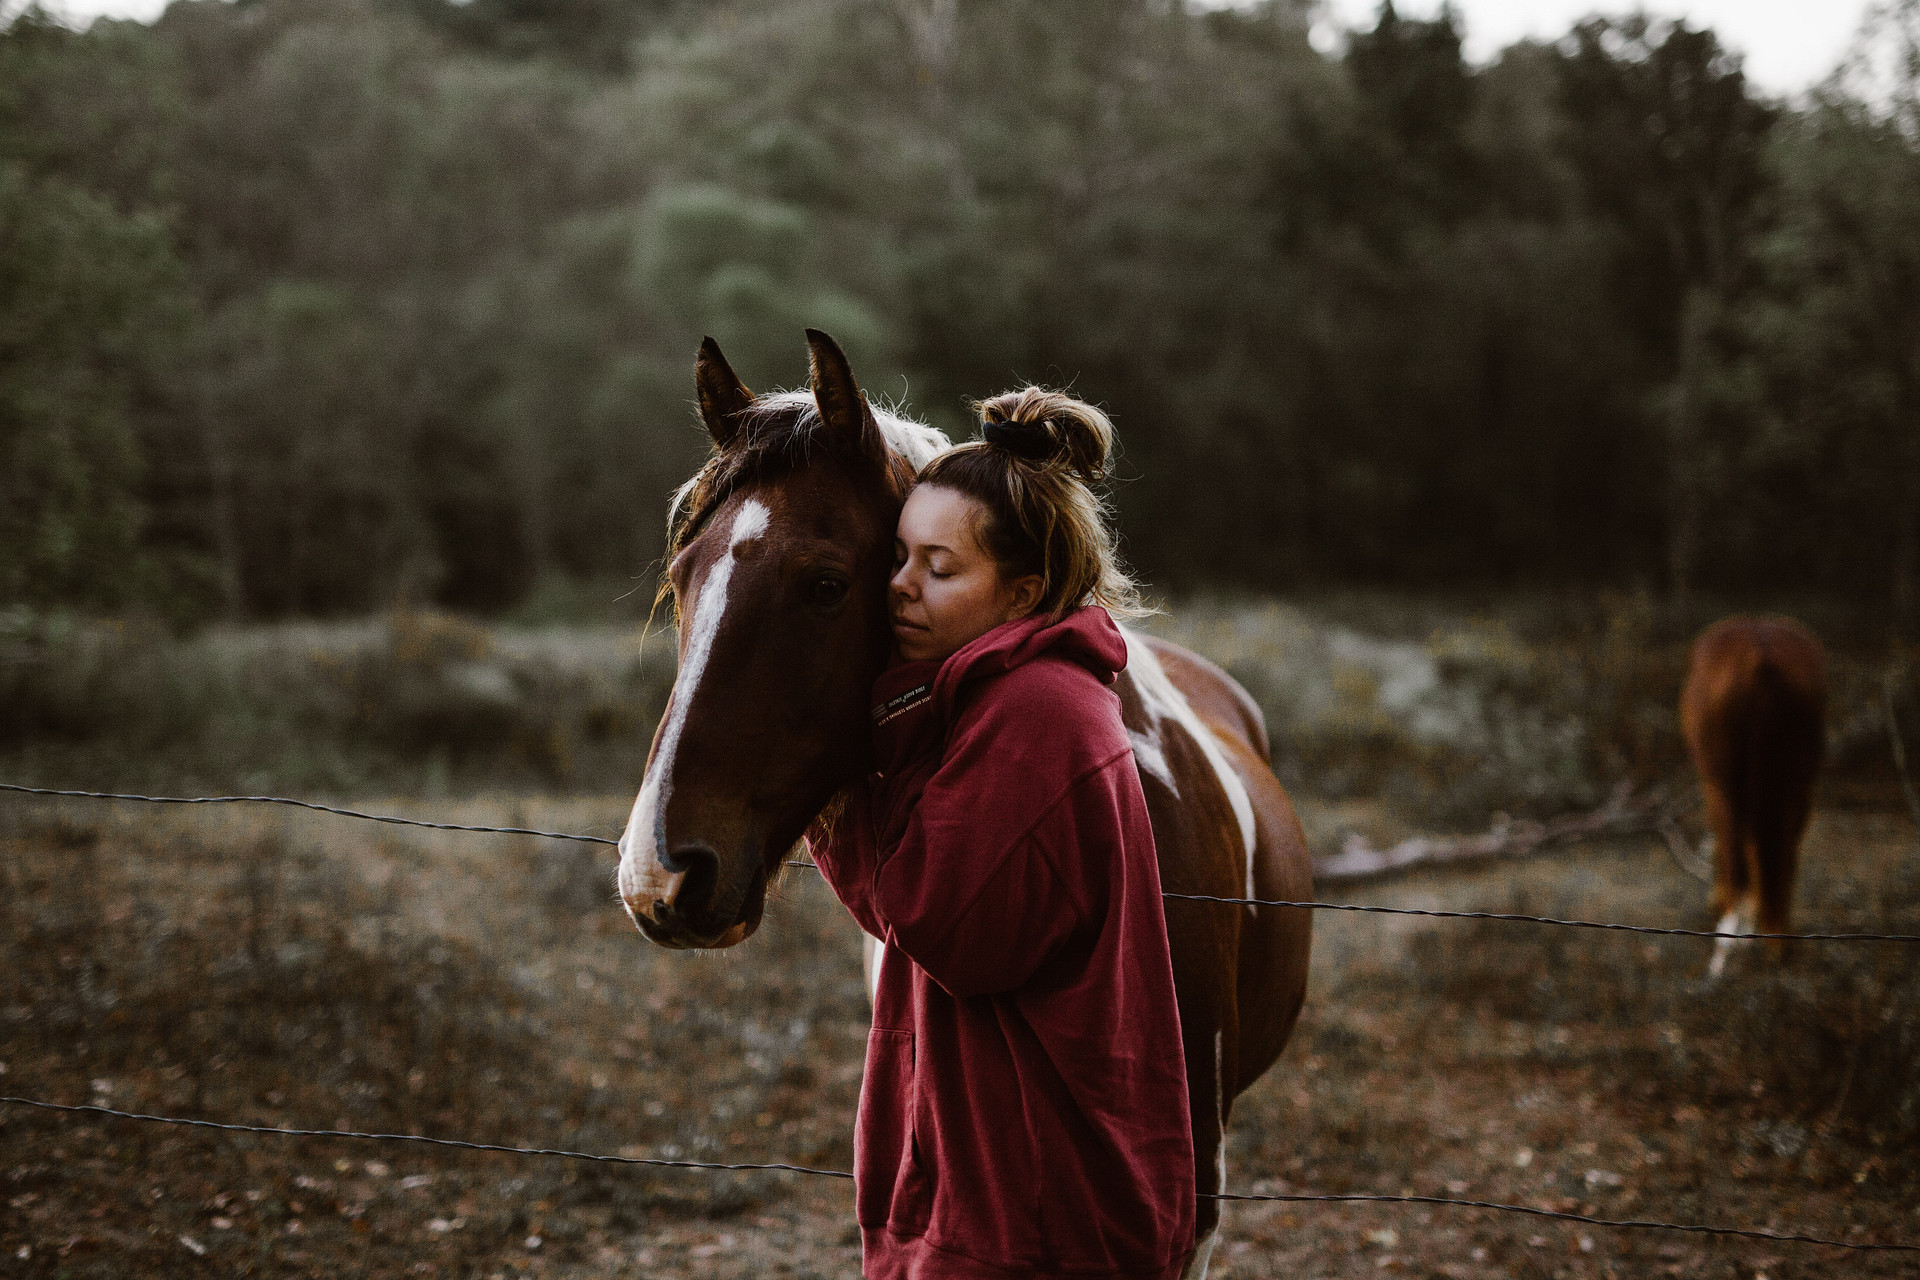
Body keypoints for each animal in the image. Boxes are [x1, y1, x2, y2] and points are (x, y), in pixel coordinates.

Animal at [1679, 616, 1828, 979]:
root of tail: (1762, 657)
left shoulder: (1713, 783)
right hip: (1799, 780)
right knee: (1784, 850)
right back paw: (1777, 937)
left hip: (1725, 781)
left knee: (1734, 842)